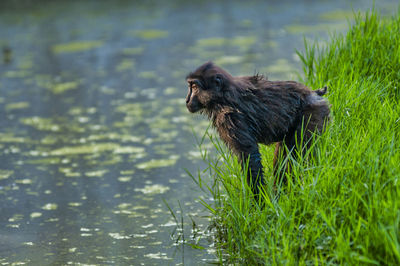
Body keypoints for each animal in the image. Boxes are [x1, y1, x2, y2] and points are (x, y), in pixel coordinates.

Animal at [186, 60, 330, 197]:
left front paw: (259, 200)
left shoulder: (231, 117)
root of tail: (313, 94)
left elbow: (250, 158)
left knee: (297, 153)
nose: (187, 100)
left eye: (194, 86)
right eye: (190, 86)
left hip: (313, 114)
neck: (221, 95)